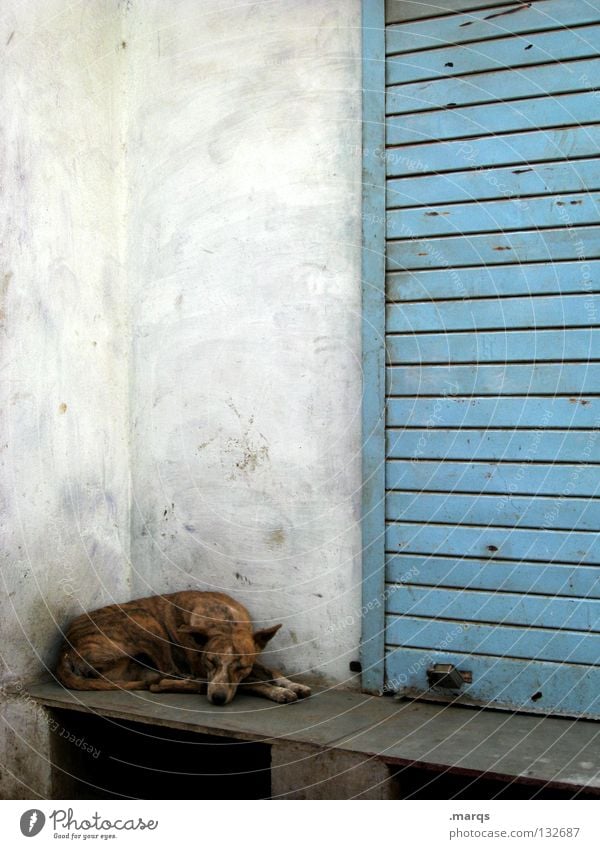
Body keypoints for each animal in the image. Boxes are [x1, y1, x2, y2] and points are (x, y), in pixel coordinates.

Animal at [55, 588, 312, 704]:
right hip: (145, 621)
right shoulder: (204, 670)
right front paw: (278, 691)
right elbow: (252, 683)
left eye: (240, 667)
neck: (225, 621)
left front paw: (292, 684)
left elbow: (271, 671)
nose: (217, 698)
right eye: (209, 661)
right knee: (162, 679)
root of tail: (64, 651)